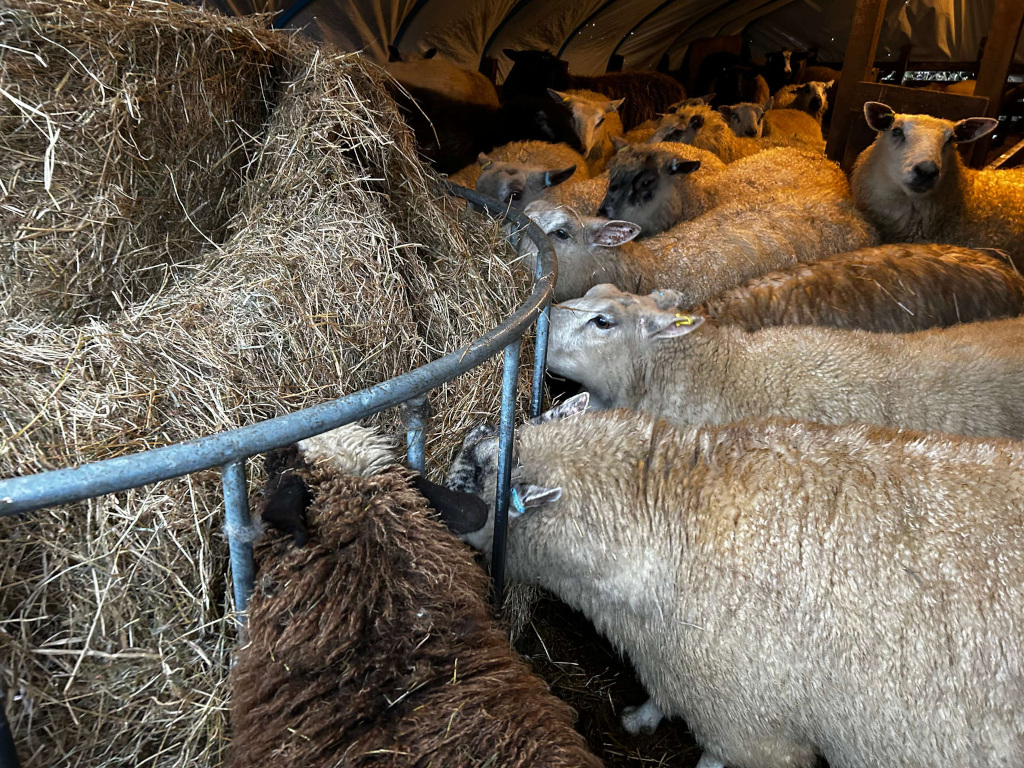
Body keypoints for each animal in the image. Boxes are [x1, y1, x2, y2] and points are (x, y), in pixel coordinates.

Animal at [440, 402, 1024, 768]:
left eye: (472, 478)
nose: (429, 505)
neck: (672, 514)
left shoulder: (750, 721)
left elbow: (715, 757)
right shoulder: (676, 657)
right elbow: (664, 694)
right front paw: (641, 717)